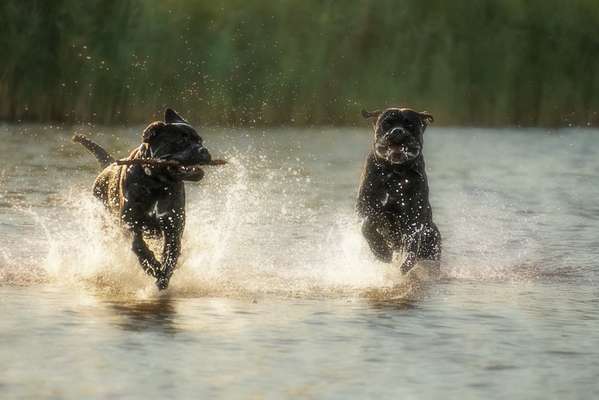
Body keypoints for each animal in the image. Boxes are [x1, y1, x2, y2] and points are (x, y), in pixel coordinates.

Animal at [74, 108, 212, 290]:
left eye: (200, 140)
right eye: (181, 141)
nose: (203, 150)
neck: (156, 182)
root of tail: (108, 166)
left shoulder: (173, 226)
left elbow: (172, 252)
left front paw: (163, 277)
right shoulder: (131, 223)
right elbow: (138, 246)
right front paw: (152, 266)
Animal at [356, 108, 440, 274]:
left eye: (410, 124)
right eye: (387, 123)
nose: (398, 131)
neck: (395, 172)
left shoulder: (413, 218)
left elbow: (412, 245)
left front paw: (405, 264)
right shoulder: (365, 209)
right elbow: (367, 226)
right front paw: (381, 251)